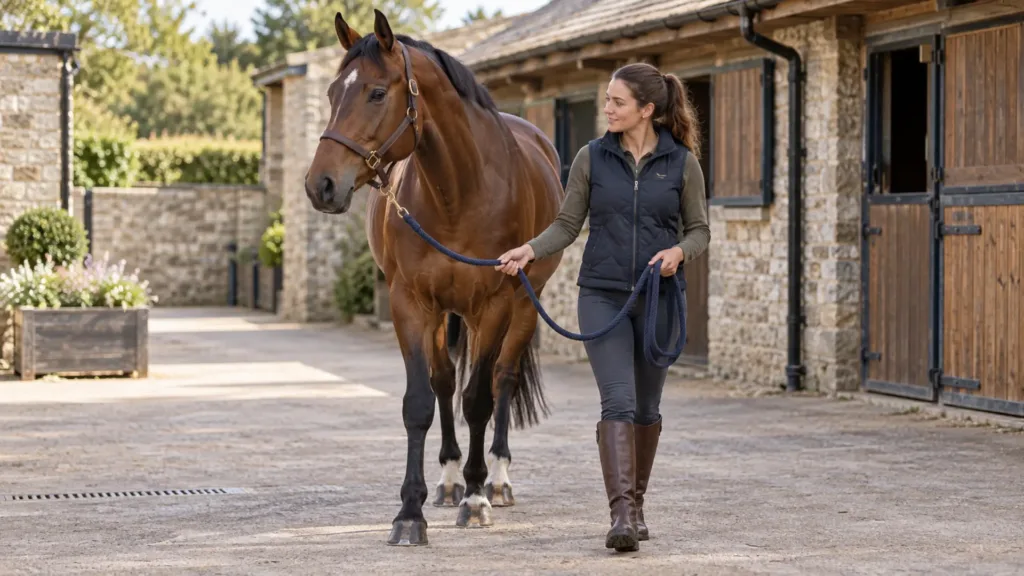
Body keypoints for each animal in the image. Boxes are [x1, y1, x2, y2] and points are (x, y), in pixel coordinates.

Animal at [304, 9, 565, 546]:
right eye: (332, 92)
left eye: (376, 93)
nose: (321, 185)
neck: (460, 193)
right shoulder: (411, 303)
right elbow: (420, 402)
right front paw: (411, 511)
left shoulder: (494, 305)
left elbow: (480, 400)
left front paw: (477, 498)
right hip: (447, 312)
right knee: (445, 382)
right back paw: (447, 479)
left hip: (522, 307)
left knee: (503, 380)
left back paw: (496, 479)